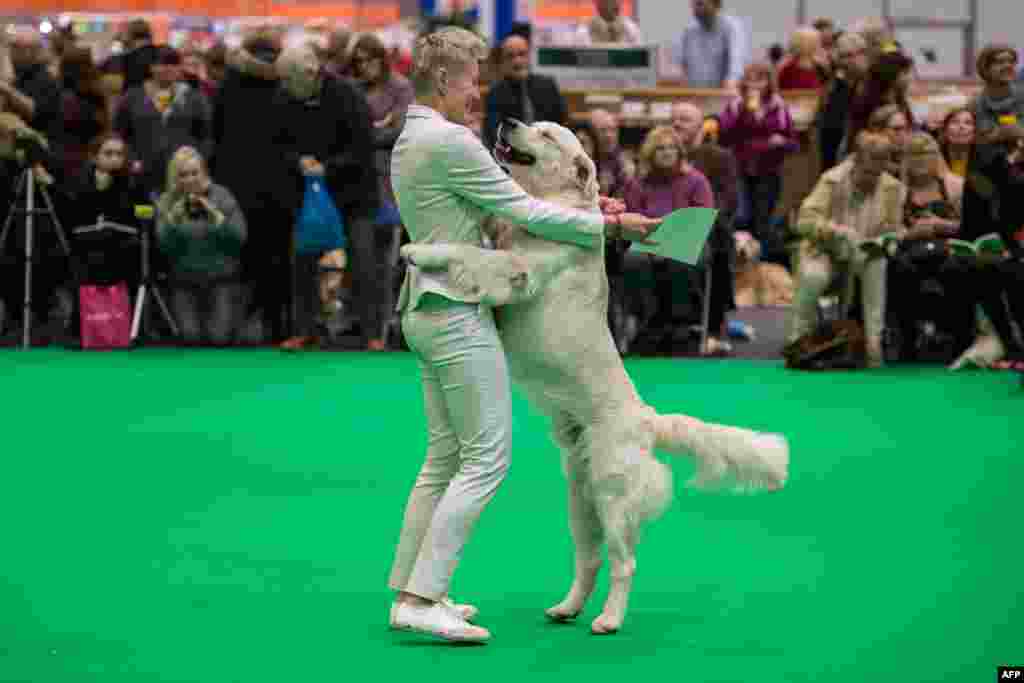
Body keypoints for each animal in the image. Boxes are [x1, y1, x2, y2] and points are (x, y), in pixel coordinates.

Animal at [403, 121, 786, 634]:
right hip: (580, 500)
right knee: (590, 560)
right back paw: (567, 607)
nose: (508, 122)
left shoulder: (517, 270)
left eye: (546, 134)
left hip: (612, 492)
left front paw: (420, 248)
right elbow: (485, 236)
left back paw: (608, 619)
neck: (551, 208)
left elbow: (470, 252)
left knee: (624, 563)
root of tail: (647, 419)